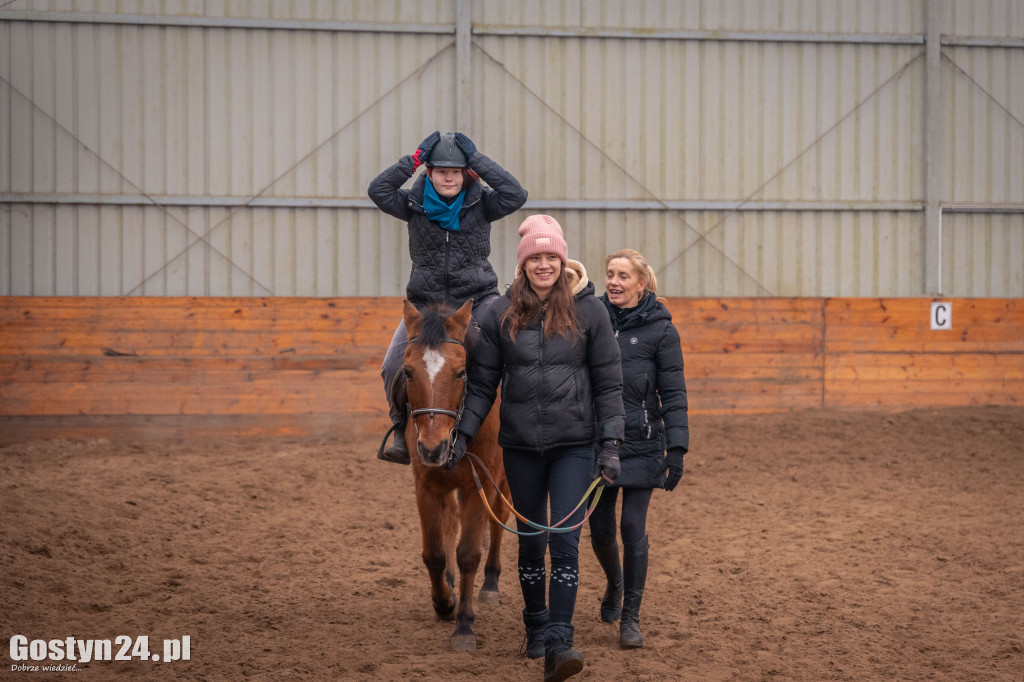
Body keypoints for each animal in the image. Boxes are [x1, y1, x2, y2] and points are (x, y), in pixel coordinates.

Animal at [399, 296, 512, 647]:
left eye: (462, 372)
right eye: (407, 372)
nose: (432, 448)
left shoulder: (480, 486)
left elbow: (469, 554)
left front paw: (464, 625)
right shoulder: (425, 486)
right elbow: (435, 552)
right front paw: (444, 603)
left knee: (499, 520)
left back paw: (490, 584)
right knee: (450, 521)